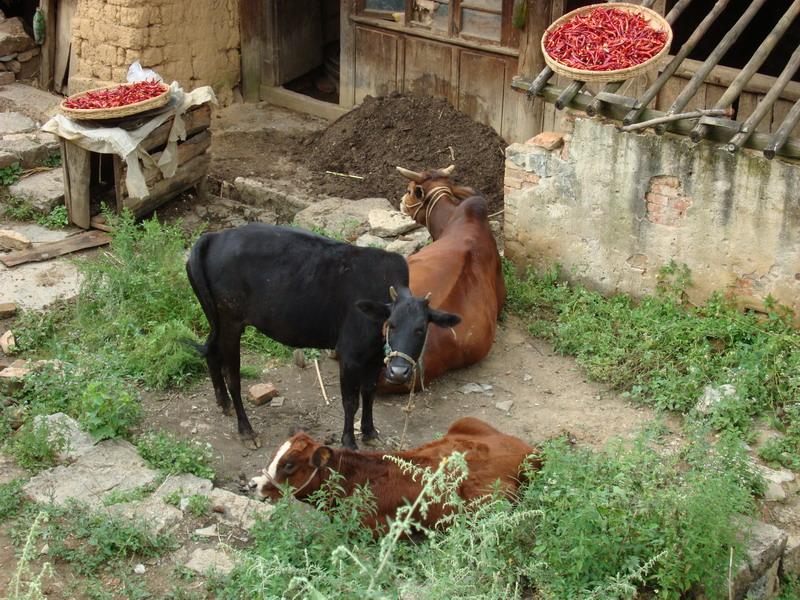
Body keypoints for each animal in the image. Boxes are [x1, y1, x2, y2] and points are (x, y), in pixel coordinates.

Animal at [187, 225, 460, 450]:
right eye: (391, 325)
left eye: (420, 329)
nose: (399, 372)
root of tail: (215, 236)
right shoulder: (349, 355)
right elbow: (350, 401)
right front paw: (349, 441)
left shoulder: (374, 358)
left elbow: (369, 393)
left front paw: (369, 432)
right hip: (231, 323)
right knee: (232, 376)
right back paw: (246, 430)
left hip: (216, 320)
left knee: (210, 350)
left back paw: (223, 403)